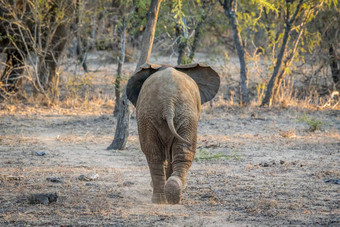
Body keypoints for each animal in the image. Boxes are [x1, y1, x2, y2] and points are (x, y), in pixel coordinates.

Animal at [126, 62, 219, 204]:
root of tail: (168, 101)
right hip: (176, 115)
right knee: (173, 153)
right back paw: (169, 196)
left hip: (155, 115)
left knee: (156, 154)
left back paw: (165, 196)